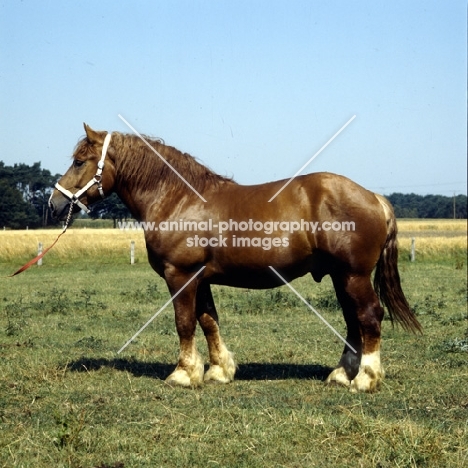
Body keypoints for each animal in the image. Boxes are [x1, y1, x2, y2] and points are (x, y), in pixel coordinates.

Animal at [49, 123, 422, 392]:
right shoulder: (200, 279)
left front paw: (183, 374)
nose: (55, 203)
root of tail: (374, 197)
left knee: (369, 316)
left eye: (79, 161)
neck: (179, 199)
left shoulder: (180, 275)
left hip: (353, 276)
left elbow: (184, 323)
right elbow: (208, 321)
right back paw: (343, 374)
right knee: (352, 320)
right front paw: (218, 371)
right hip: (341, 277)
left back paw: (365, 379)